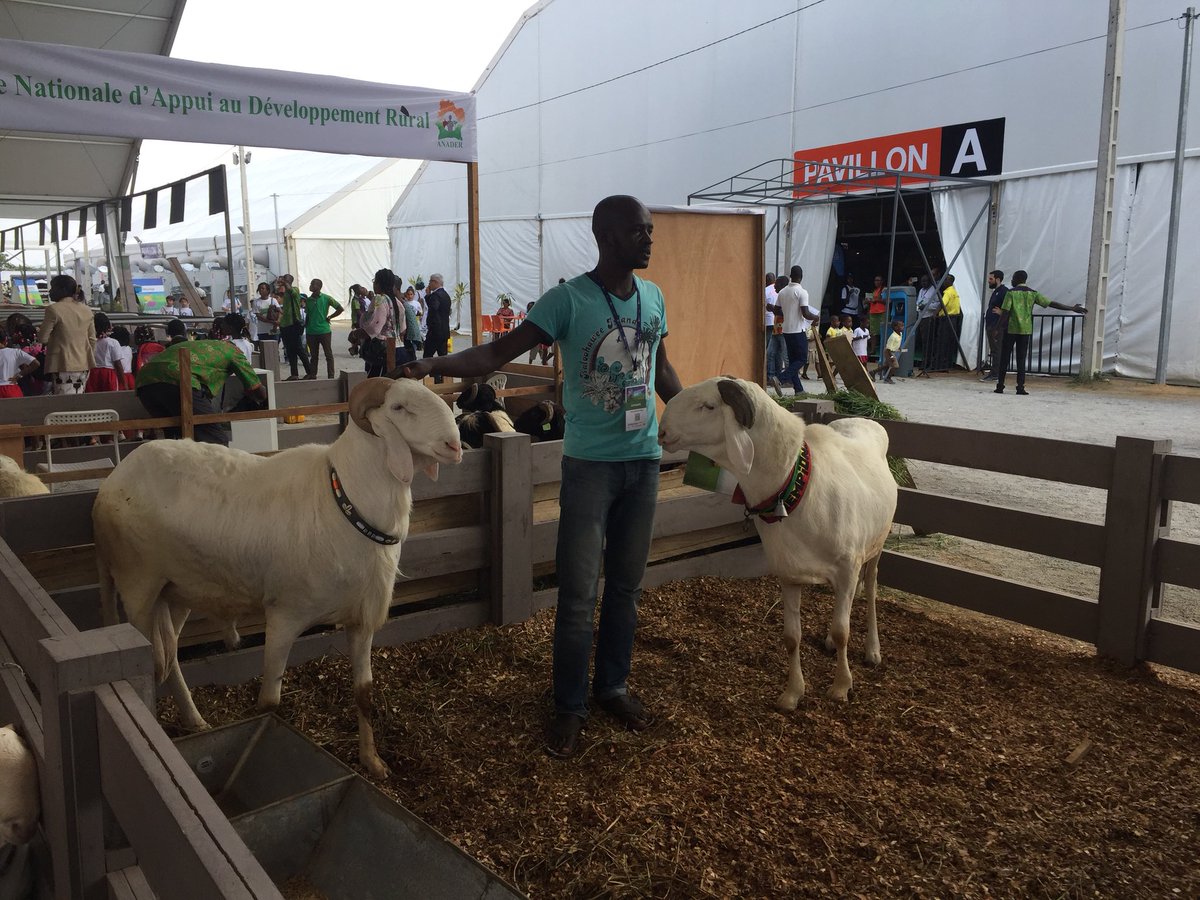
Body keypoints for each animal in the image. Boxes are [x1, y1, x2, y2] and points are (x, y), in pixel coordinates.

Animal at [91, 376, 458, 777]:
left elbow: (365, 694)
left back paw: (195, 721)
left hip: (175, 593)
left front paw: (373, 763)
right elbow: (269, 703)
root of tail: (116, 475)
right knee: (147, 661)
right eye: (398, 407)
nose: (454, 446)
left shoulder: (360, 620)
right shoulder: (284, 616)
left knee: (170, 657)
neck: (344, 499)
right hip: (138, 586)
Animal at [657, 376, 902, 710]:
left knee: (872, 589)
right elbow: (791, 637)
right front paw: (792, 694)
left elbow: (843, 631)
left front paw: (841, 686)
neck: (796, 487)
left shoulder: (847, 568)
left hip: (876, 545)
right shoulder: (789, 574)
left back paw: (872, 650)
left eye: (708, 406)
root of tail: (864, 420)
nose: (662, 431)